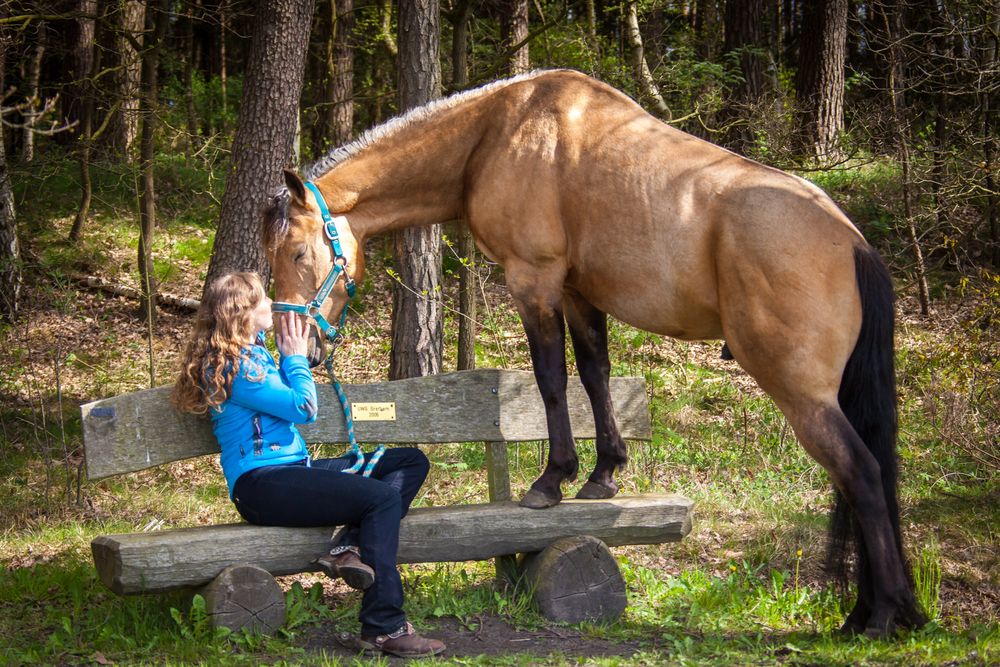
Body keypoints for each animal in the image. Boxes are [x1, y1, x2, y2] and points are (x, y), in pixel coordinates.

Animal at [262, 68, 924, 636]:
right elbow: (595, 373)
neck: (496, 132)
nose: (300, 344)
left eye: (298, 253)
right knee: (873, 475)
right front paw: (604, 474)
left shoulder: (534, 279)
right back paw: (875, 612)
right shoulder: (581, 292)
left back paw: (881, 616)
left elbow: (552, 379)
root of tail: (852, 240)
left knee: (863, 475)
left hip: (800, 392)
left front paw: (553, 479)